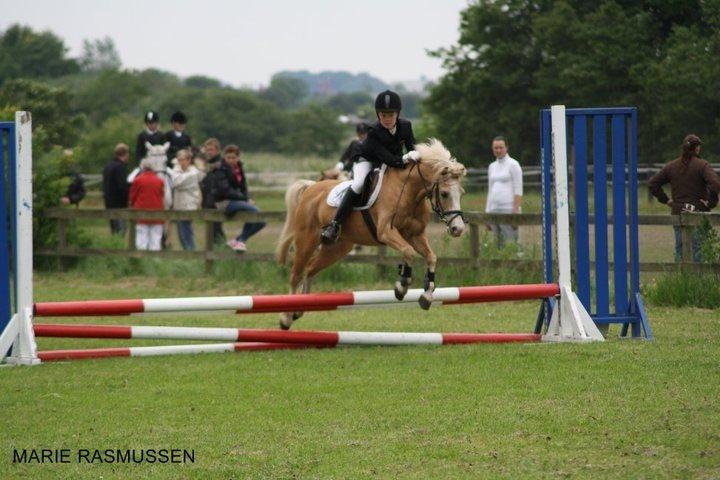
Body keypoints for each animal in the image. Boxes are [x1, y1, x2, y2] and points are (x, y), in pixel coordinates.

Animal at [276, 139, 466, 330]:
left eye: (461, 193)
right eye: (444, 194)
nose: (458, 229)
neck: (408, 191)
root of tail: (311, 187)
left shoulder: (415, 235)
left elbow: (430, 257)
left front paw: (426, 295)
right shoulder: (386, 232)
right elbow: (408, 251)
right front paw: (402, 287)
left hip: (337, 248)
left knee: (310, 270)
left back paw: (299, 310)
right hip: (306, 240)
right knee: (296, 274)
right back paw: (286, 317)